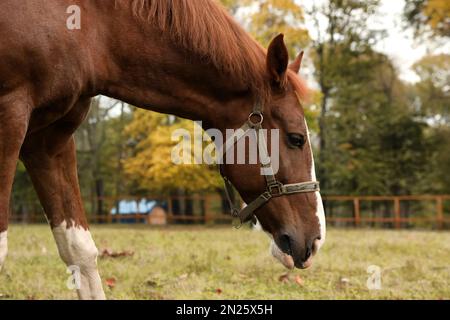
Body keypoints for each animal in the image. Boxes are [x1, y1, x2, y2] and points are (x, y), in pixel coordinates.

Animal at [0, 0, 326, 300]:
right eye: (296, 138)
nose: (316, 241)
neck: (93, 29)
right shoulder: (10, 118)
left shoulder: (49, 142)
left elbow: (79, 250)